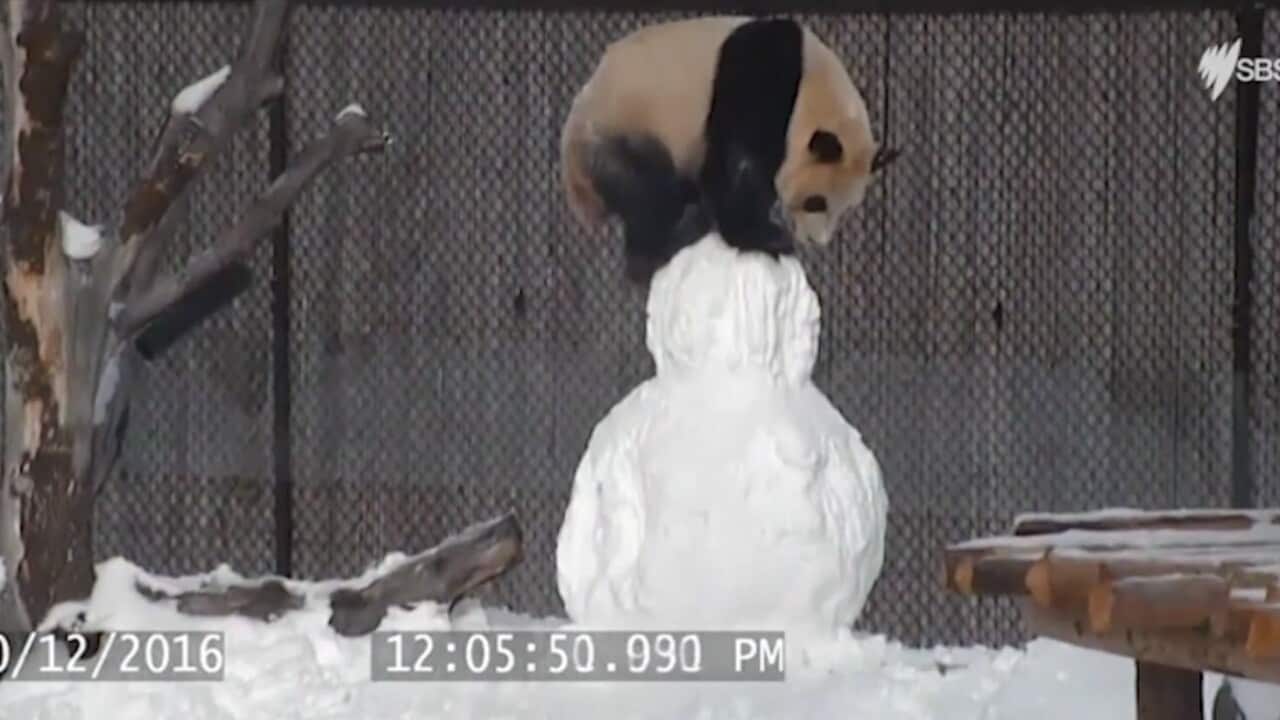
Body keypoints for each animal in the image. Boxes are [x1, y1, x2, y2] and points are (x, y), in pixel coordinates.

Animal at [560, 15, 899, 283]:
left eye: (846, 209)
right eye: (816, 202)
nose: (817, 241)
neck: (811, 89)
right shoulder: (760, 78)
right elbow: (735, 164)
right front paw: (765, 236)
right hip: (619, 133)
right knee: (650, 192)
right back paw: (672, 241)